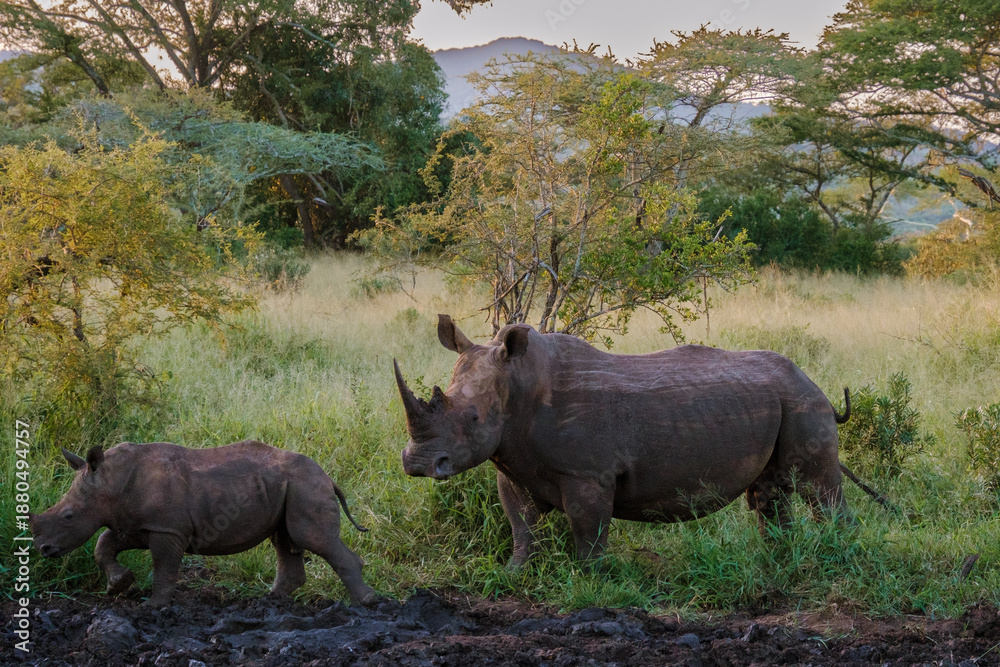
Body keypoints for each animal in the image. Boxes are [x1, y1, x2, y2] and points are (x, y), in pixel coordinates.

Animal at [30, 440, 376, 607]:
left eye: (68, 516)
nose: (43, 549)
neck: (109, 481)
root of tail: (329, 477)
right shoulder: (137, 523)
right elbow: (104, 543)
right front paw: (119, 584)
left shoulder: (167, 529)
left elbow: (164, 568)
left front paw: (152, 607)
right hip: (288, 486)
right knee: (285, 540)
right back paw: (268, 602)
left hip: (305, 485)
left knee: (314, 540)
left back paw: (366, 604)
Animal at [394, 315, 856, 569]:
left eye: (472, 418)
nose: (417, 463)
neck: (519, 385)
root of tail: (815, 383)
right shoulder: (513, 465)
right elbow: (521, 526)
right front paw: (514, 573)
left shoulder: (588, 473)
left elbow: (588, 530)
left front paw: (590, 582)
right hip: (780, 400)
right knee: (769, 493)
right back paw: (778, 559)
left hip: (803, 402)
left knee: (818, 486)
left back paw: (837, 557)